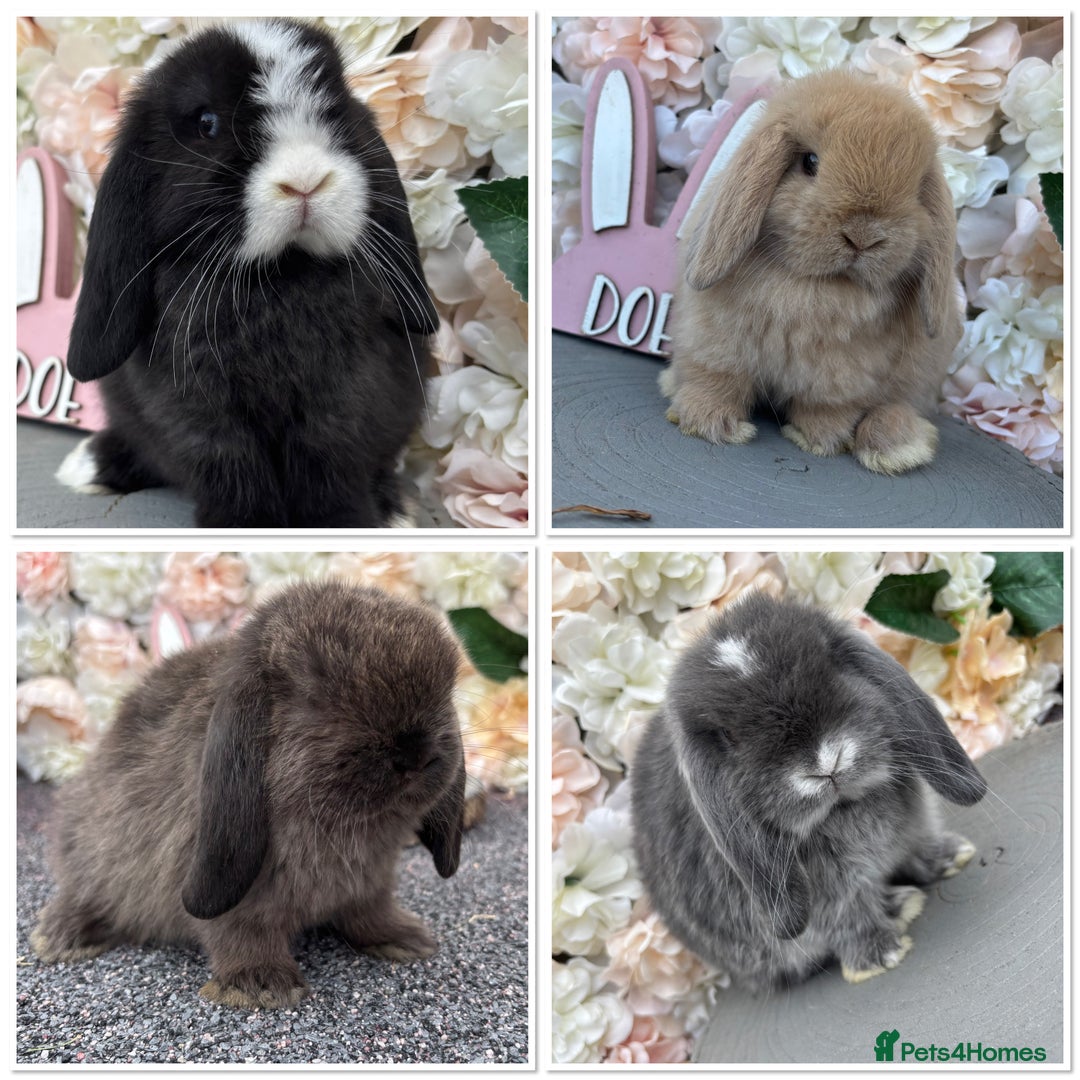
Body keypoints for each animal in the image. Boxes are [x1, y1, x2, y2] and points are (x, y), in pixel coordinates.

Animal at [30, 580, 467, 1009]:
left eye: (447, 690)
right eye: (313, 694)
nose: (415, 753)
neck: (345, 829)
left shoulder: (372, 883)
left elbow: (371, 913)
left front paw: (405, 938)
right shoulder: (227, 887)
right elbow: (240, 931)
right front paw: (262, 985)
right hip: (90, 853)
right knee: (84, 892)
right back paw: (59, 936)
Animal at [56, 19, 439, 528]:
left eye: (335, 112)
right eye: (207, 123)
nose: (305, 182)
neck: (281, 274)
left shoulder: (343, 399)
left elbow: (331, 462)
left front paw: (343, 521)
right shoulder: (200, 411)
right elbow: (231, 467)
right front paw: (244, 523)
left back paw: (392, 507)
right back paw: (88, 465)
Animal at [631, 593, 986, 992]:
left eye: (833, 664)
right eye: (728, 736)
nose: (826, 763)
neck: (843, 809)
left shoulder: (914, 830)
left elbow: (919, 849)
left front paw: (954, 855)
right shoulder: (826, 898)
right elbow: (846, 918)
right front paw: (880, 956)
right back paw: (899, 906)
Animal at [660, 69, 961, 475]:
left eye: (915, 191)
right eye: (810, 162)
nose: (864, 236)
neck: (811, 287)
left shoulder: (842, 375)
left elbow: (827, 406)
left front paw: (819, 440)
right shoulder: (717, 342)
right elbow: (717, 380)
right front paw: (709, 423)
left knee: (895, 410)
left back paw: (897, 448)